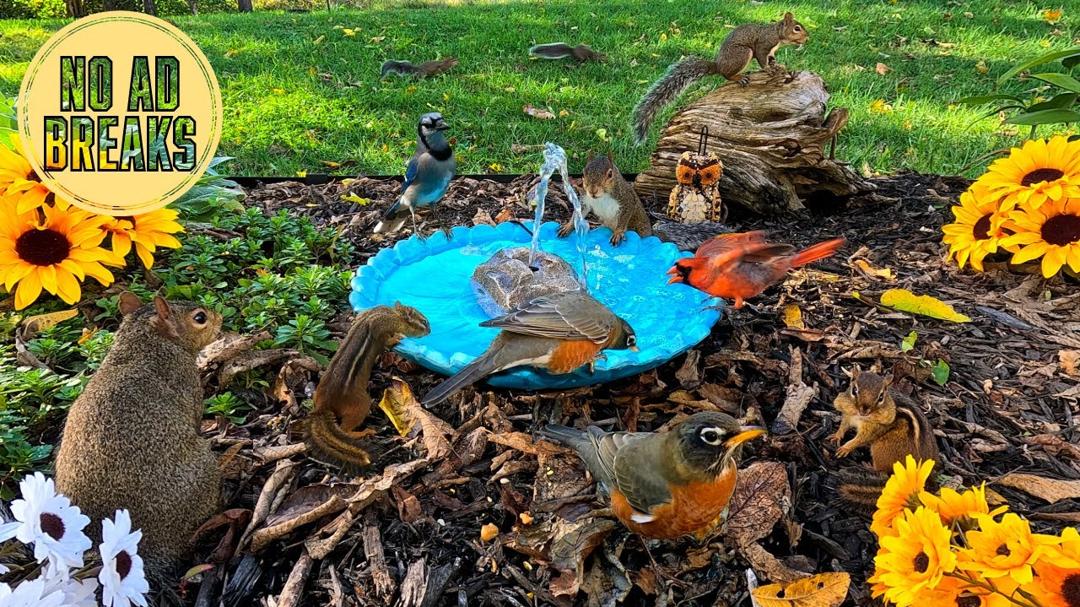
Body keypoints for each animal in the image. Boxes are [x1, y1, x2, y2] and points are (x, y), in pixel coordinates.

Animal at [306, 303, 430, 471]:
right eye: (424, 321)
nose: (430, 331)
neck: (392, 313)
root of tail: (323, 406)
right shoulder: (383, 327)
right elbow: (388, 341)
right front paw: (398, 337)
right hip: (362, 403)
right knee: (345, 429)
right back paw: (363, 433)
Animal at [632, 12, 808, 142]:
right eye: (797, 28)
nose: (807, 39)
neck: (776, 34)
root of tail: (718, 65)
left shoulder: (771, 51)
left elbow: (771, 59)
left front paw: (777, 66)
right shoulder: (763, 45)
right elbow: (762, 60)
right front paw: (769, 70)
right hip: (742, 53)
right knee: (726, 75)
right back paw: (738, 77)